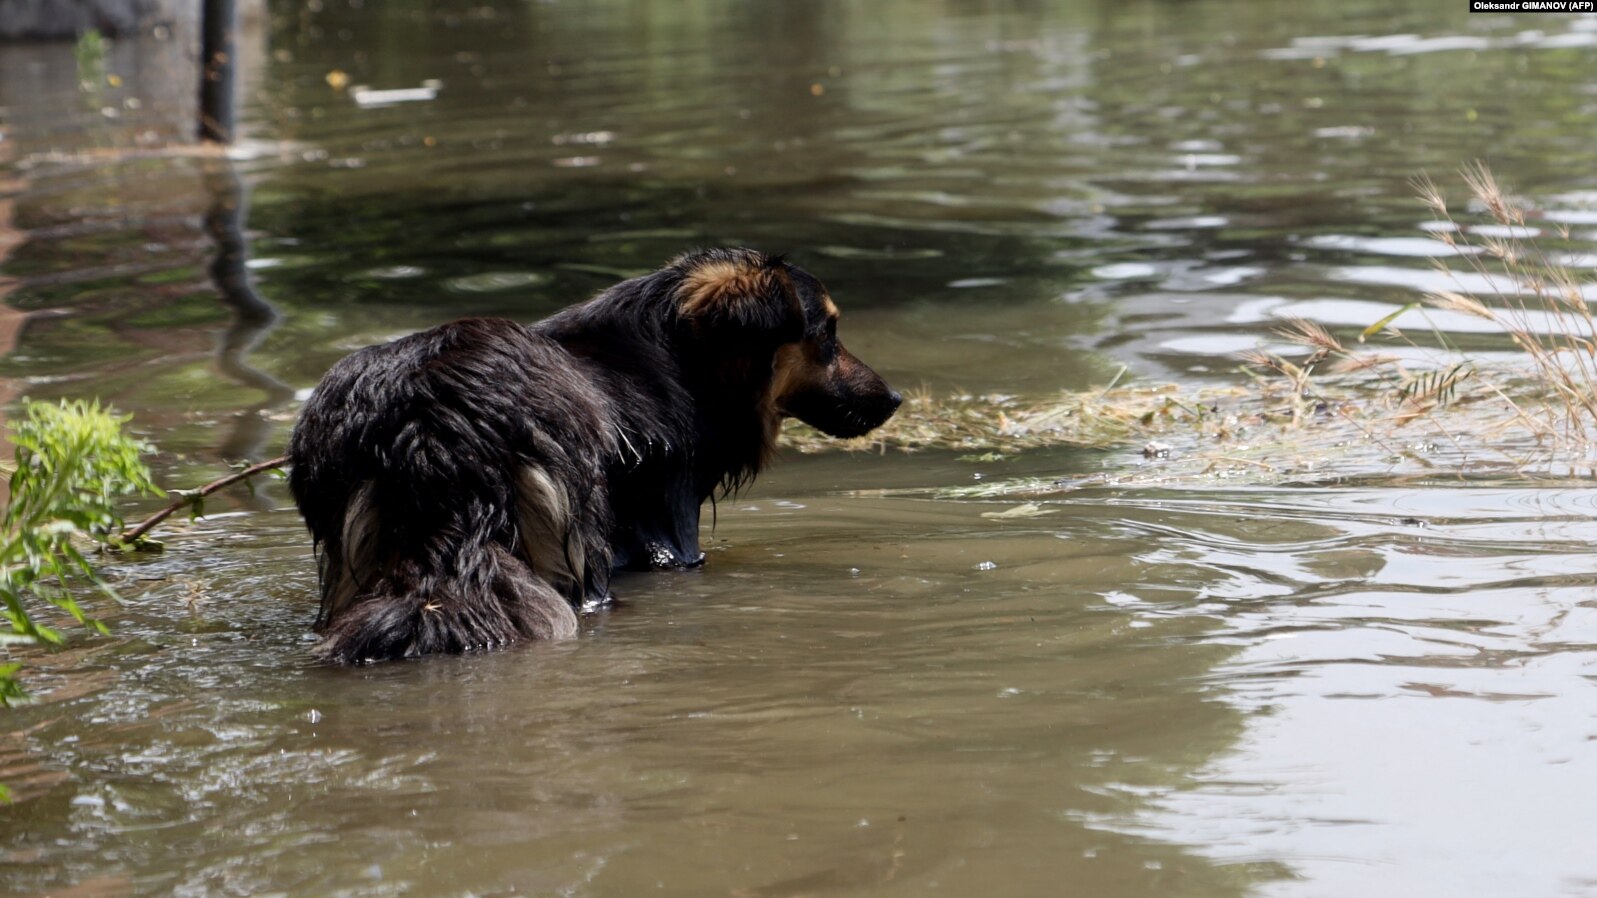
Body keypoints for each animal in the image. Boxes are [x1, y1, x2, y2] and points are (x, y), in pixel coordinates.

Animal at [289, 247, 907, 661]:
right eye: (828, 334)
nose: (896, 399)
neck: (683, 358)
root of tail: (427, 417)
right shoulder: (672, 524)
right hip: (574, 531)